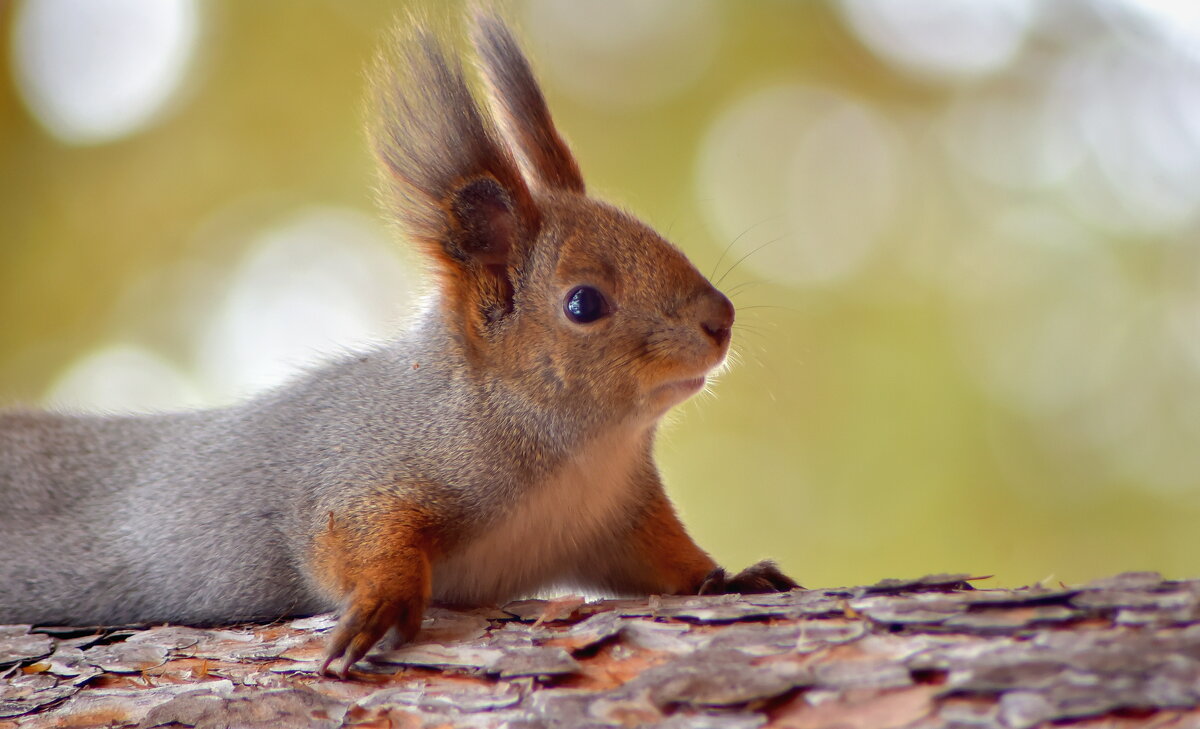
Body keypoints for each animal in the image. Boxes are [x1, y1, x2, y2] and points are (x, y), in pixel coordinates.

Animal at [2, 9, 806, 676]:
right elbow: (349, 539)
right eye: (584, 303)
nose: (721, 318)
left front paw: (727, 578)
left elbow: (665, 560)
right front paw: (381, 601)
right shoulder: (362, 464)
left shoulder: (620, 519)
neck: (580, 455)